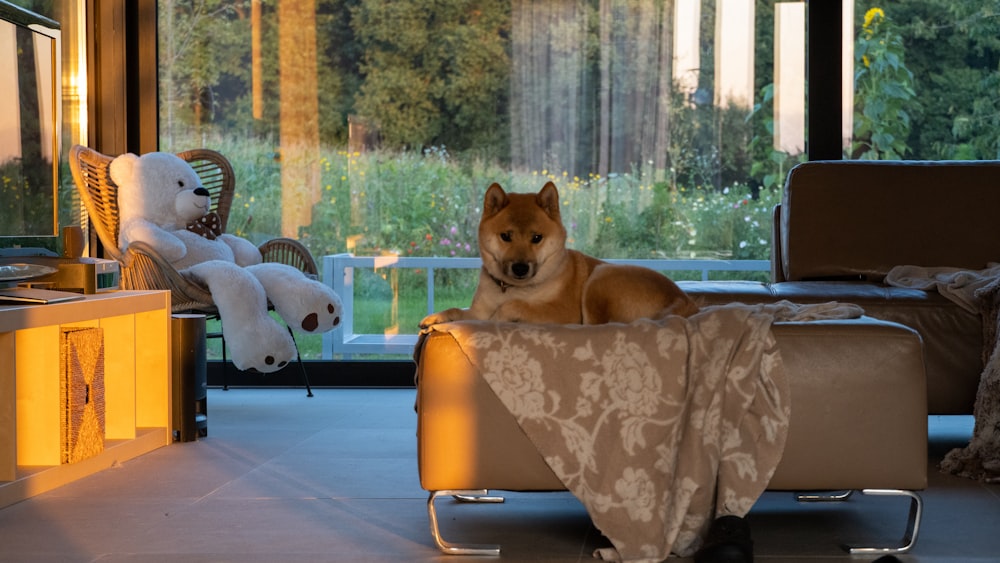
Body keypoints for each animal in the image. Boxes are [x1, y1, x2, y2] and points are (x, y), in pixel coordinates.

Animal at [418, 183, 700, 328]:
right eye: (506, 236)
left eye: (537, 238)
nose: (520, 268)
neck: (511, 289)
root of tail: (685, 301)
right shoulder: (477, 312)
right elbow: (457, 309)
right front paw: (435, 317)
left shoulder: (561, 313)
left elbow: (513, 307)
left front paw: (501, 316)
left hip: (601, 277)